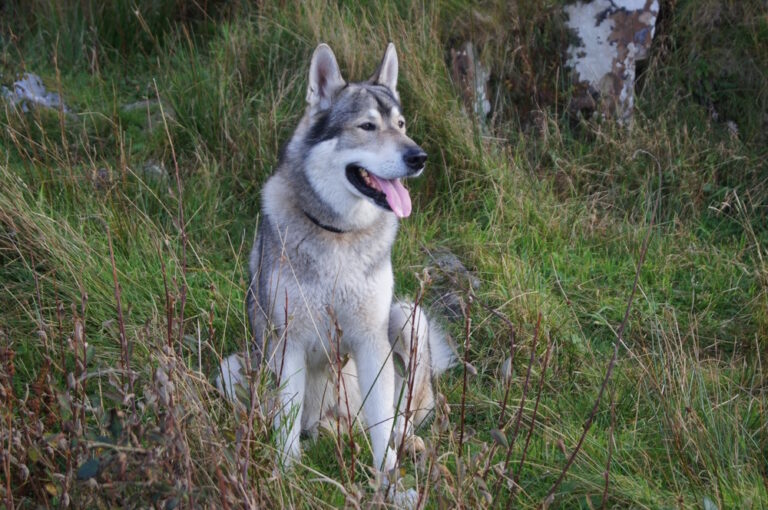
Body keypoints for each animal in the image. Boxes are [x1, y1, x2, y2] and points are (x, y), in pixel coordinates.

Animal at [216, 43, 455, 479]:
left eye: (401, 124)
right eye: (367, 126)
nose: (419, 156)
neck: (339, 235)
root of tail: (339, 420)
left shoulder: (370, 341)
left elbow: (382, 424)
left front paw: (388, 478)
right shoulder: (288, 342)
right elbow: (287, 420)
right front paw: (286, 474)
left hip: (407, 317)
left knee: (401, 417)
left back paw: (407, 443)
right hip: (231, 370)